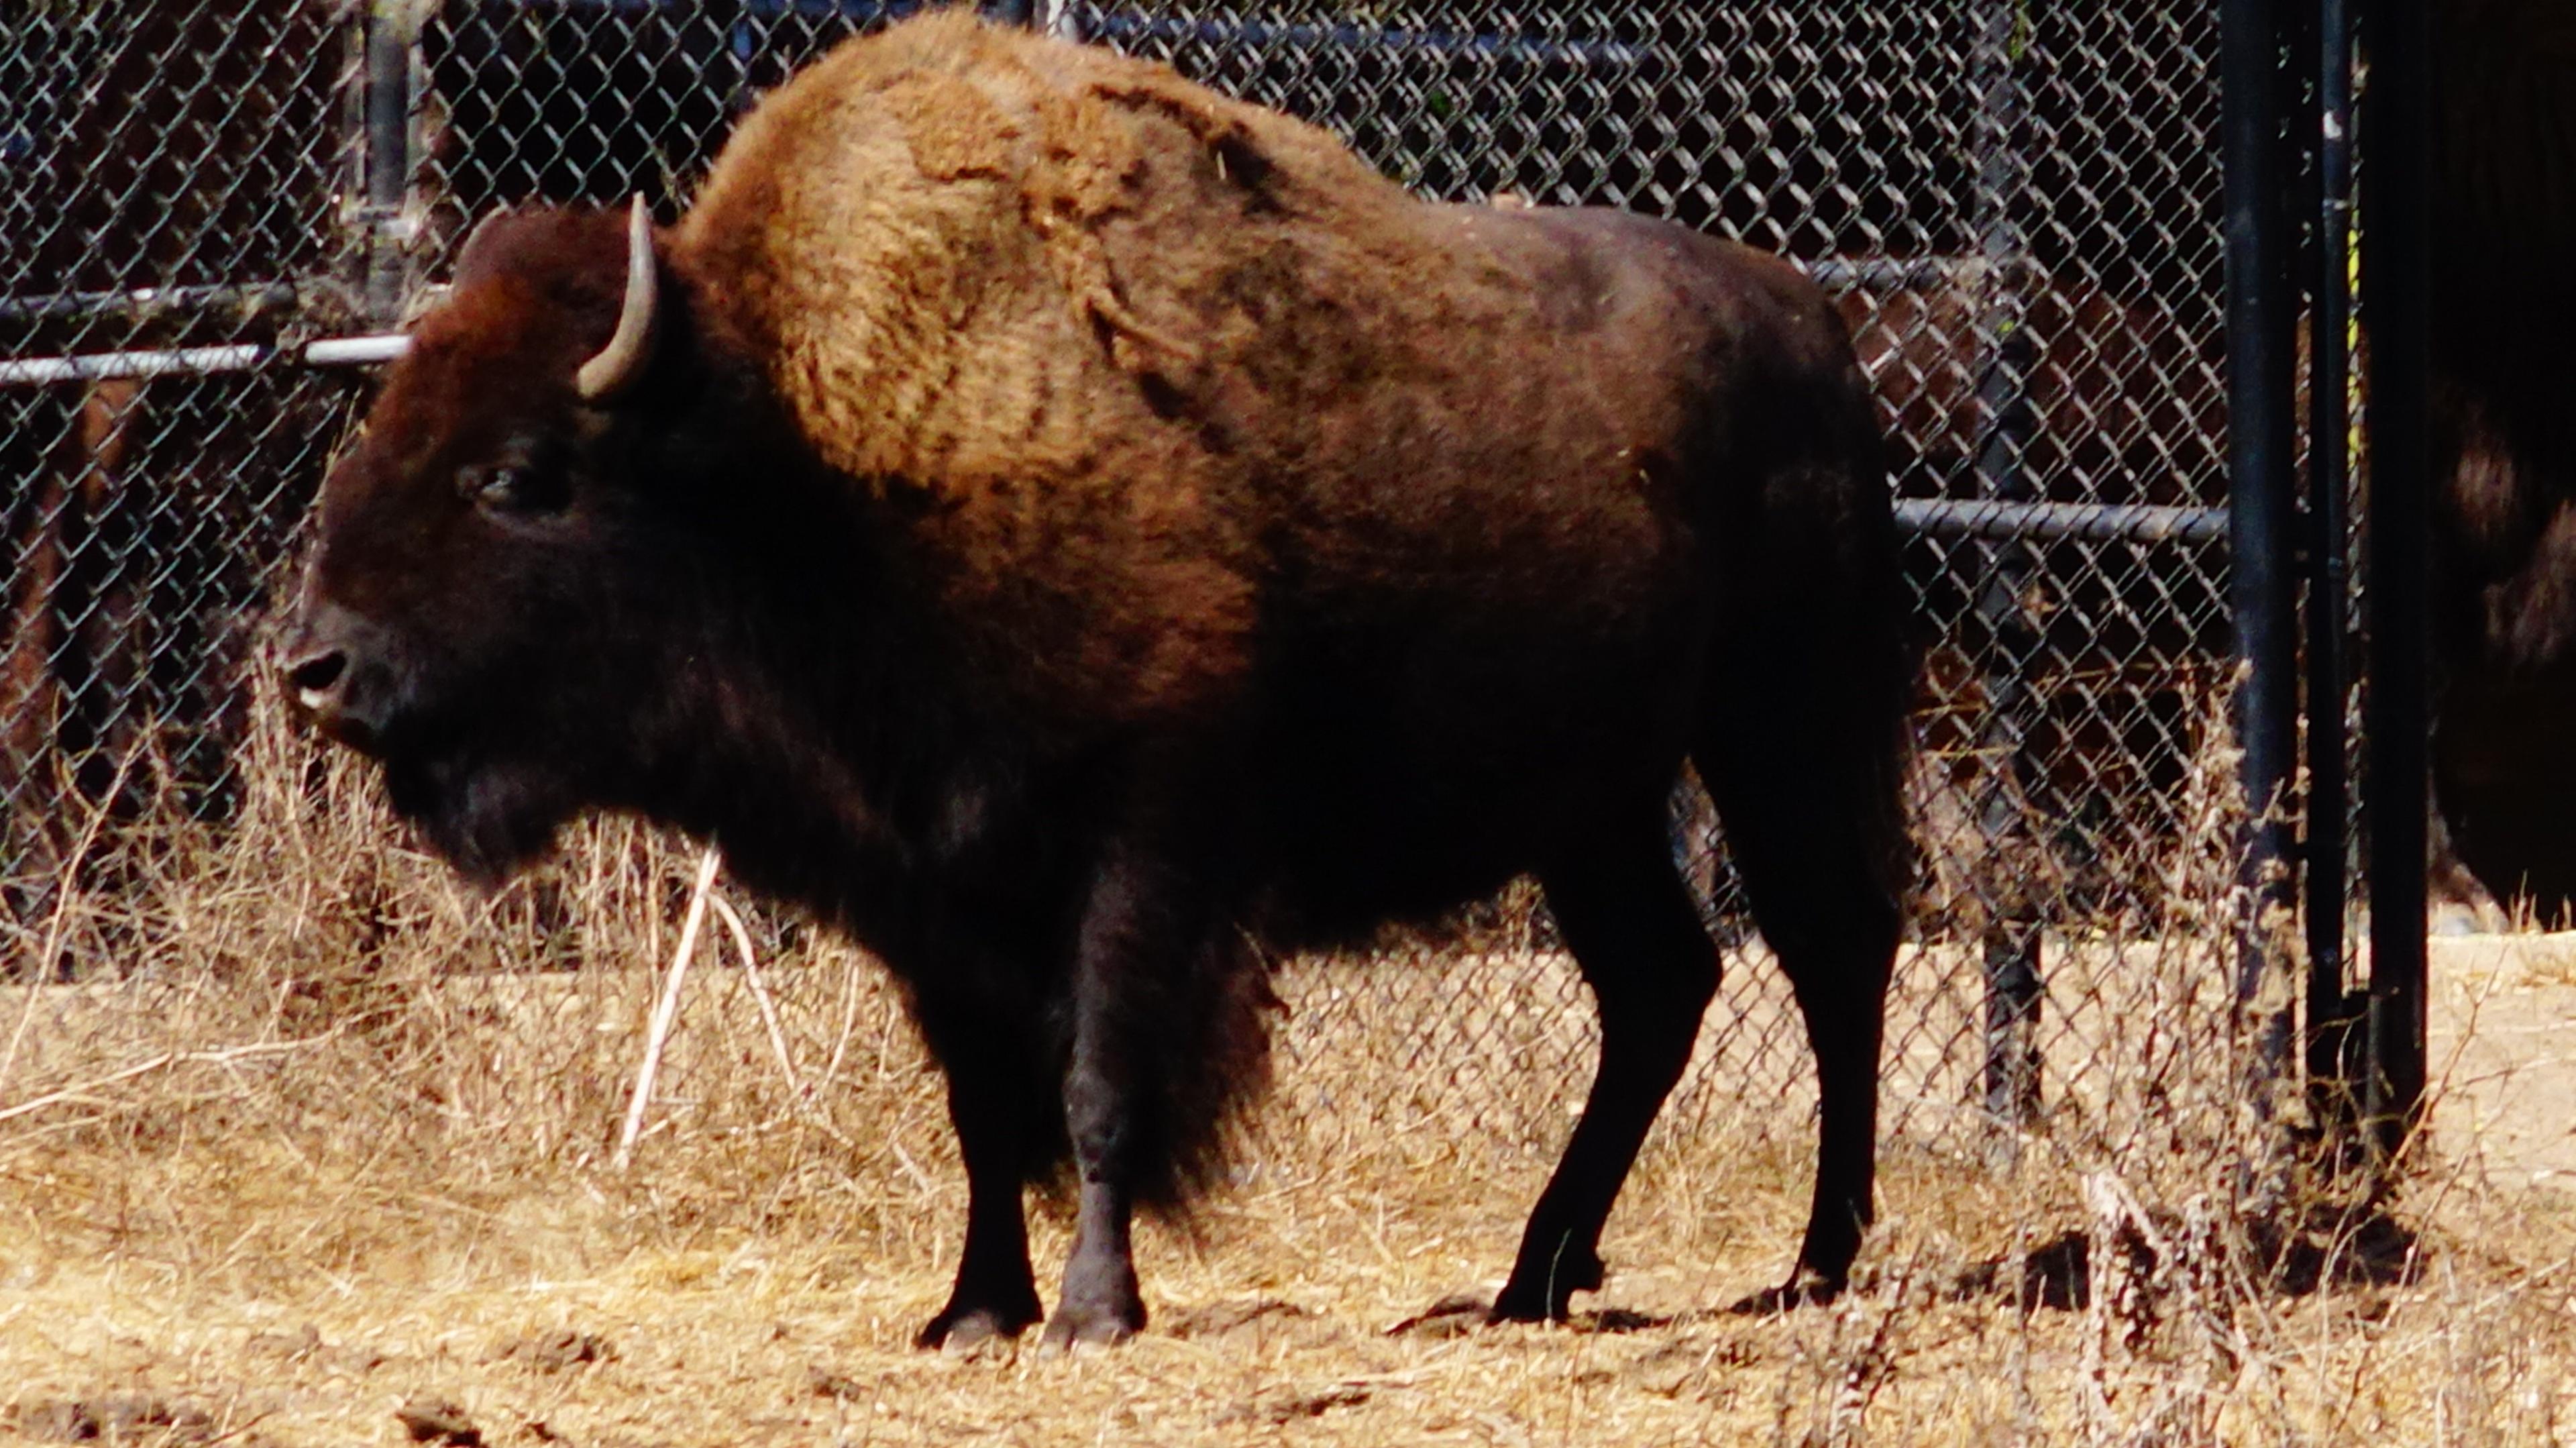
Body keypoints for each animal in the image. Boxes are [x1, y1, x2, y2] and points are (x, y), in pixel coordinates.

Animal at [276, 11, 1916, 1350]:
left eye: (513, 473)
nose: (318, 668)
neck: (808, 461)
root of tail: (1815, 322)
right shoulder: (931, 893)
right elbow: (983, 1106)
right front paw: (969, 1309)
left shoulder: (1146, 840)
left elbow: (1097, 1080)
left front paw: (1089, 1311)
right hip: (1594, 799)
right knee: (1662, 981)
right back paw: (1530, 1278)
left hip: (1786, 729)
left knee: (1832, 955)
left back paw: (1814, 1265)